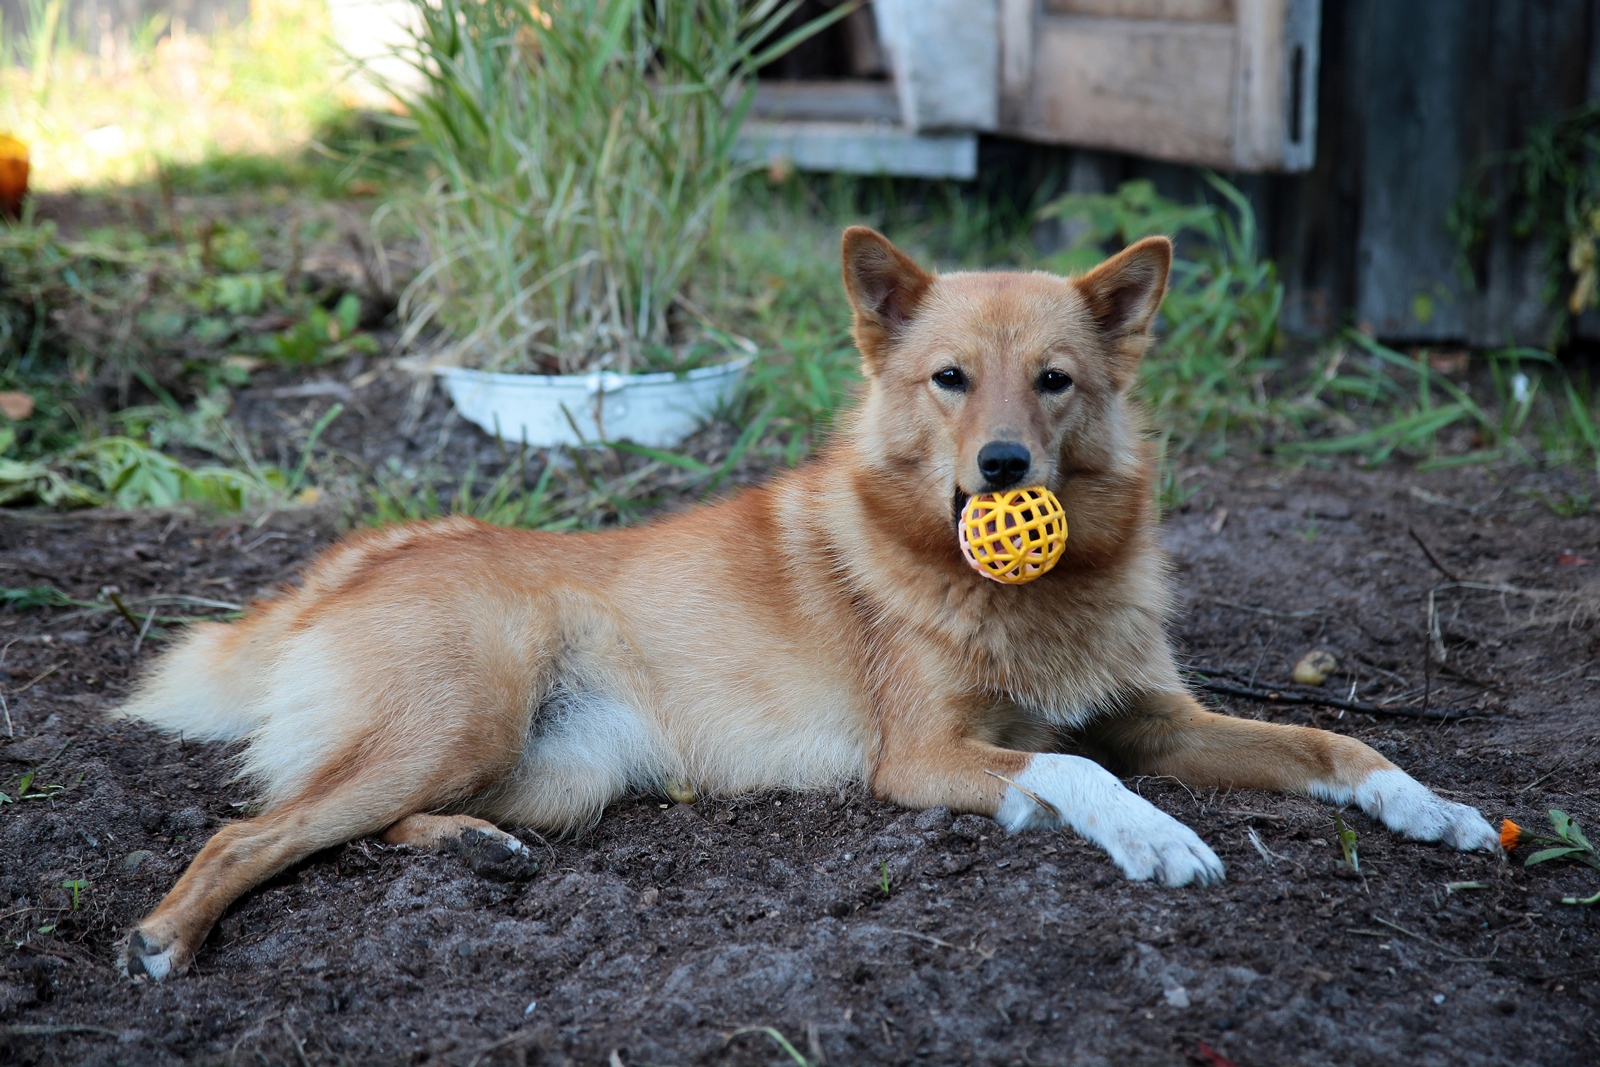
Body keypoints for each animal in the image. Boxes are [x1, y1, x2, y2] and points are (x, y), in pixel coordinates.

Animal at [116, 230, 1497, 979]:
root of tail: (364, 555)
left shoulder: (1155, 715)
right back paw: (164, 938)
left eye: (1054, 381)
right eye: (950, 379)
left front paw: (1429, 803)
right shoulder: (921, 755)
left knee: (347, 817)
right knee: (249, 831)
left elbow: (1328, 738)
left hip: (553, 772)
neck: (1024, 594)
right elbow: (1078, 772)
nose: (1003, 469)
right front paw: (1153, 835)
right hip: (456, 723)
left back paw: (474, 851)